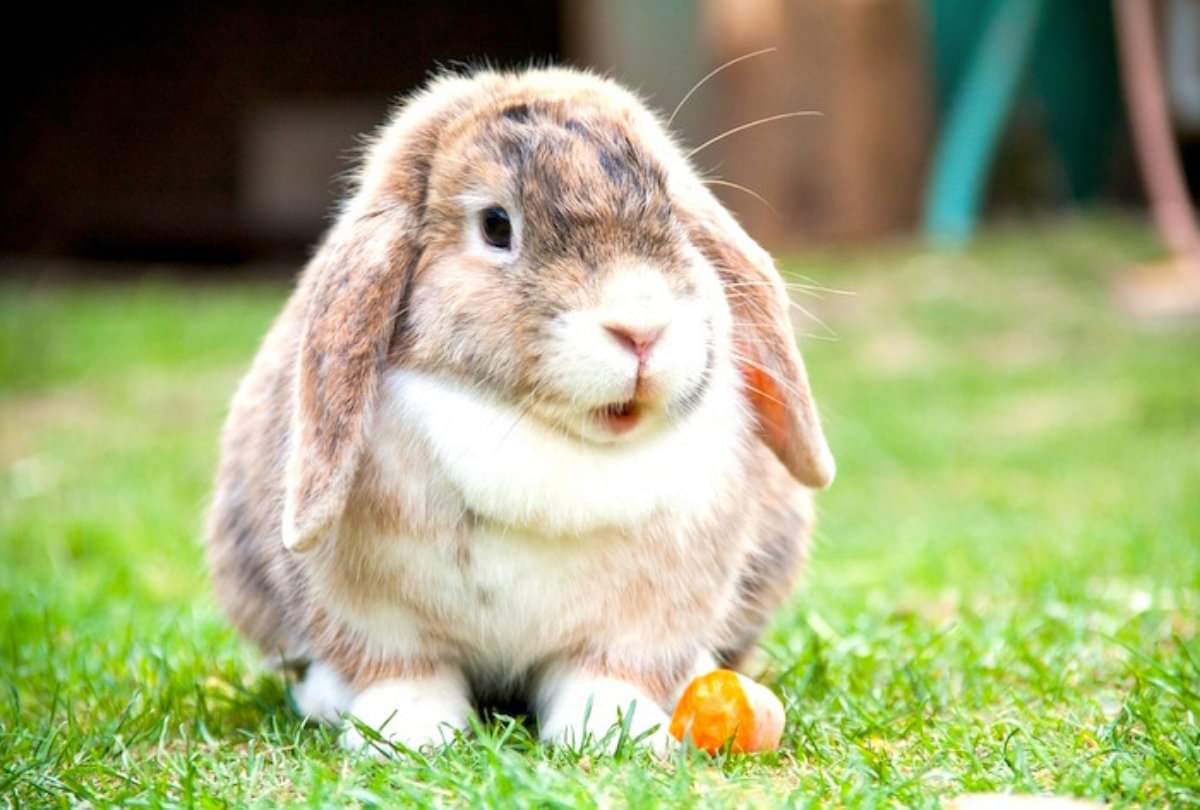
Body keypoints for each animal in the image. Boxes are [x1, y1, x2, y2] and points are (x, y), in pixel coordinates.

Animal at [206, 66, 834, 756]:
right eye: (496, 226)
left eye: (671, 210)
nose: (641, 330)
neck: (544, 434)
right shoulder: (375, 618)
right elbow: (404, 672)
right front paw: (409, 735)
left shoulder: (643, 621)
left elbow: (607, 674)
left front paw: (613, 734)